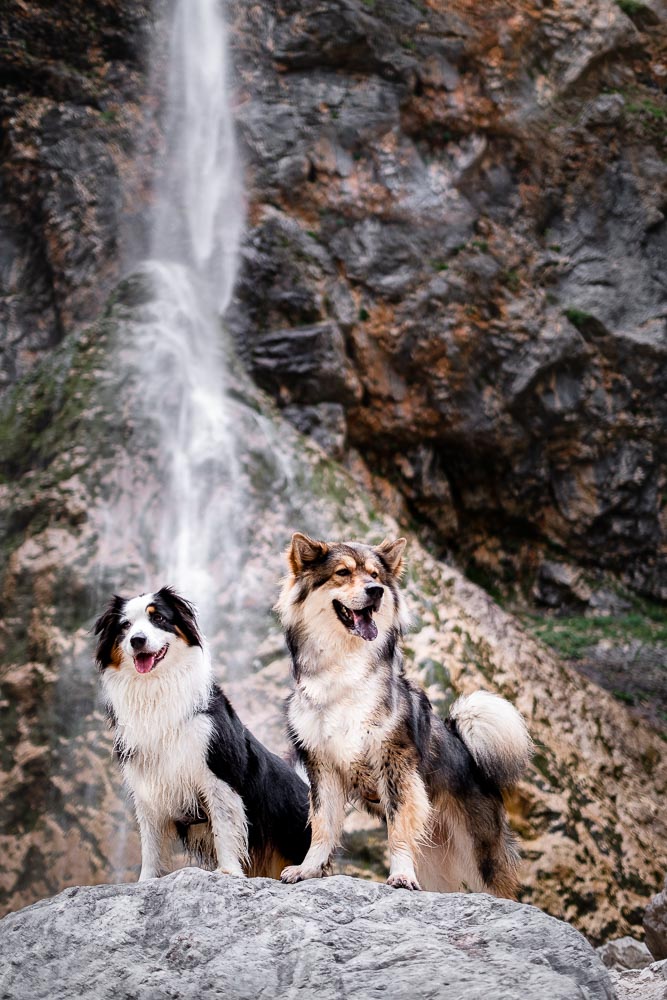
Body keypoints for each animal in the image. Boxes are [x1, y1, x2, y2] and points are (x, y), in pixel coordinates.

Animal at [95, 584, 312, 884]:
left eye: (158, 618)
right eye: (125, 626)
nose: (137, 640)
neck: (155, 688)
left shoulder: (218, 772)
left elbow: (223, 825)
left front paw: (228, 871)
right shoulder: (146, 781)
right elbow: (150, 840)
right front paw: (146, 880)